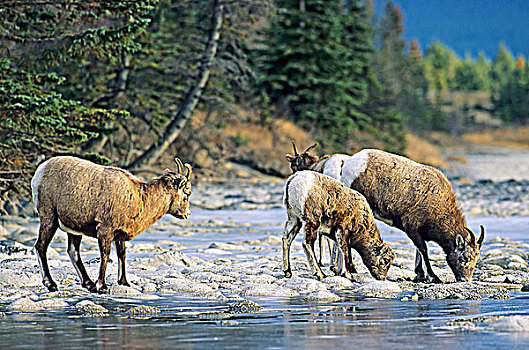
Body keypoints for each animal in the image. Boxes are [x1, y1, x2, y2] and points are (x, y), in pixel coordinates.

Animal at [31, 156, 192, 292]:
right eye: (187, 193)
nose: (187, 214)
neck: (138, 198)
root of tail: (39, 173)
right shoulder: (105, 230)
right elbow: (105, 254)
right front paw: (102, 285)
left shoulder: (119, 235)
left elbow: (122, 254)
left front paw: (124, 282)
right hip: (49, 218)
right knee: (41, 246)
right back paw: (51, 284)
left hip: (74, 230)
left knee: (73, 251)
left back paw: (89, 284)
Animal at [286, 144, 484, 284]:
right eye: (465, 257)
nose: (465, 279)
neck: (437, 202)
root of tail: (348, 163)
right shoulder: (412, 228)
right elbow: (423, 250)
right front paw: (432, 277)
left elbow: (419, 251)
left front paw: (419, 275)